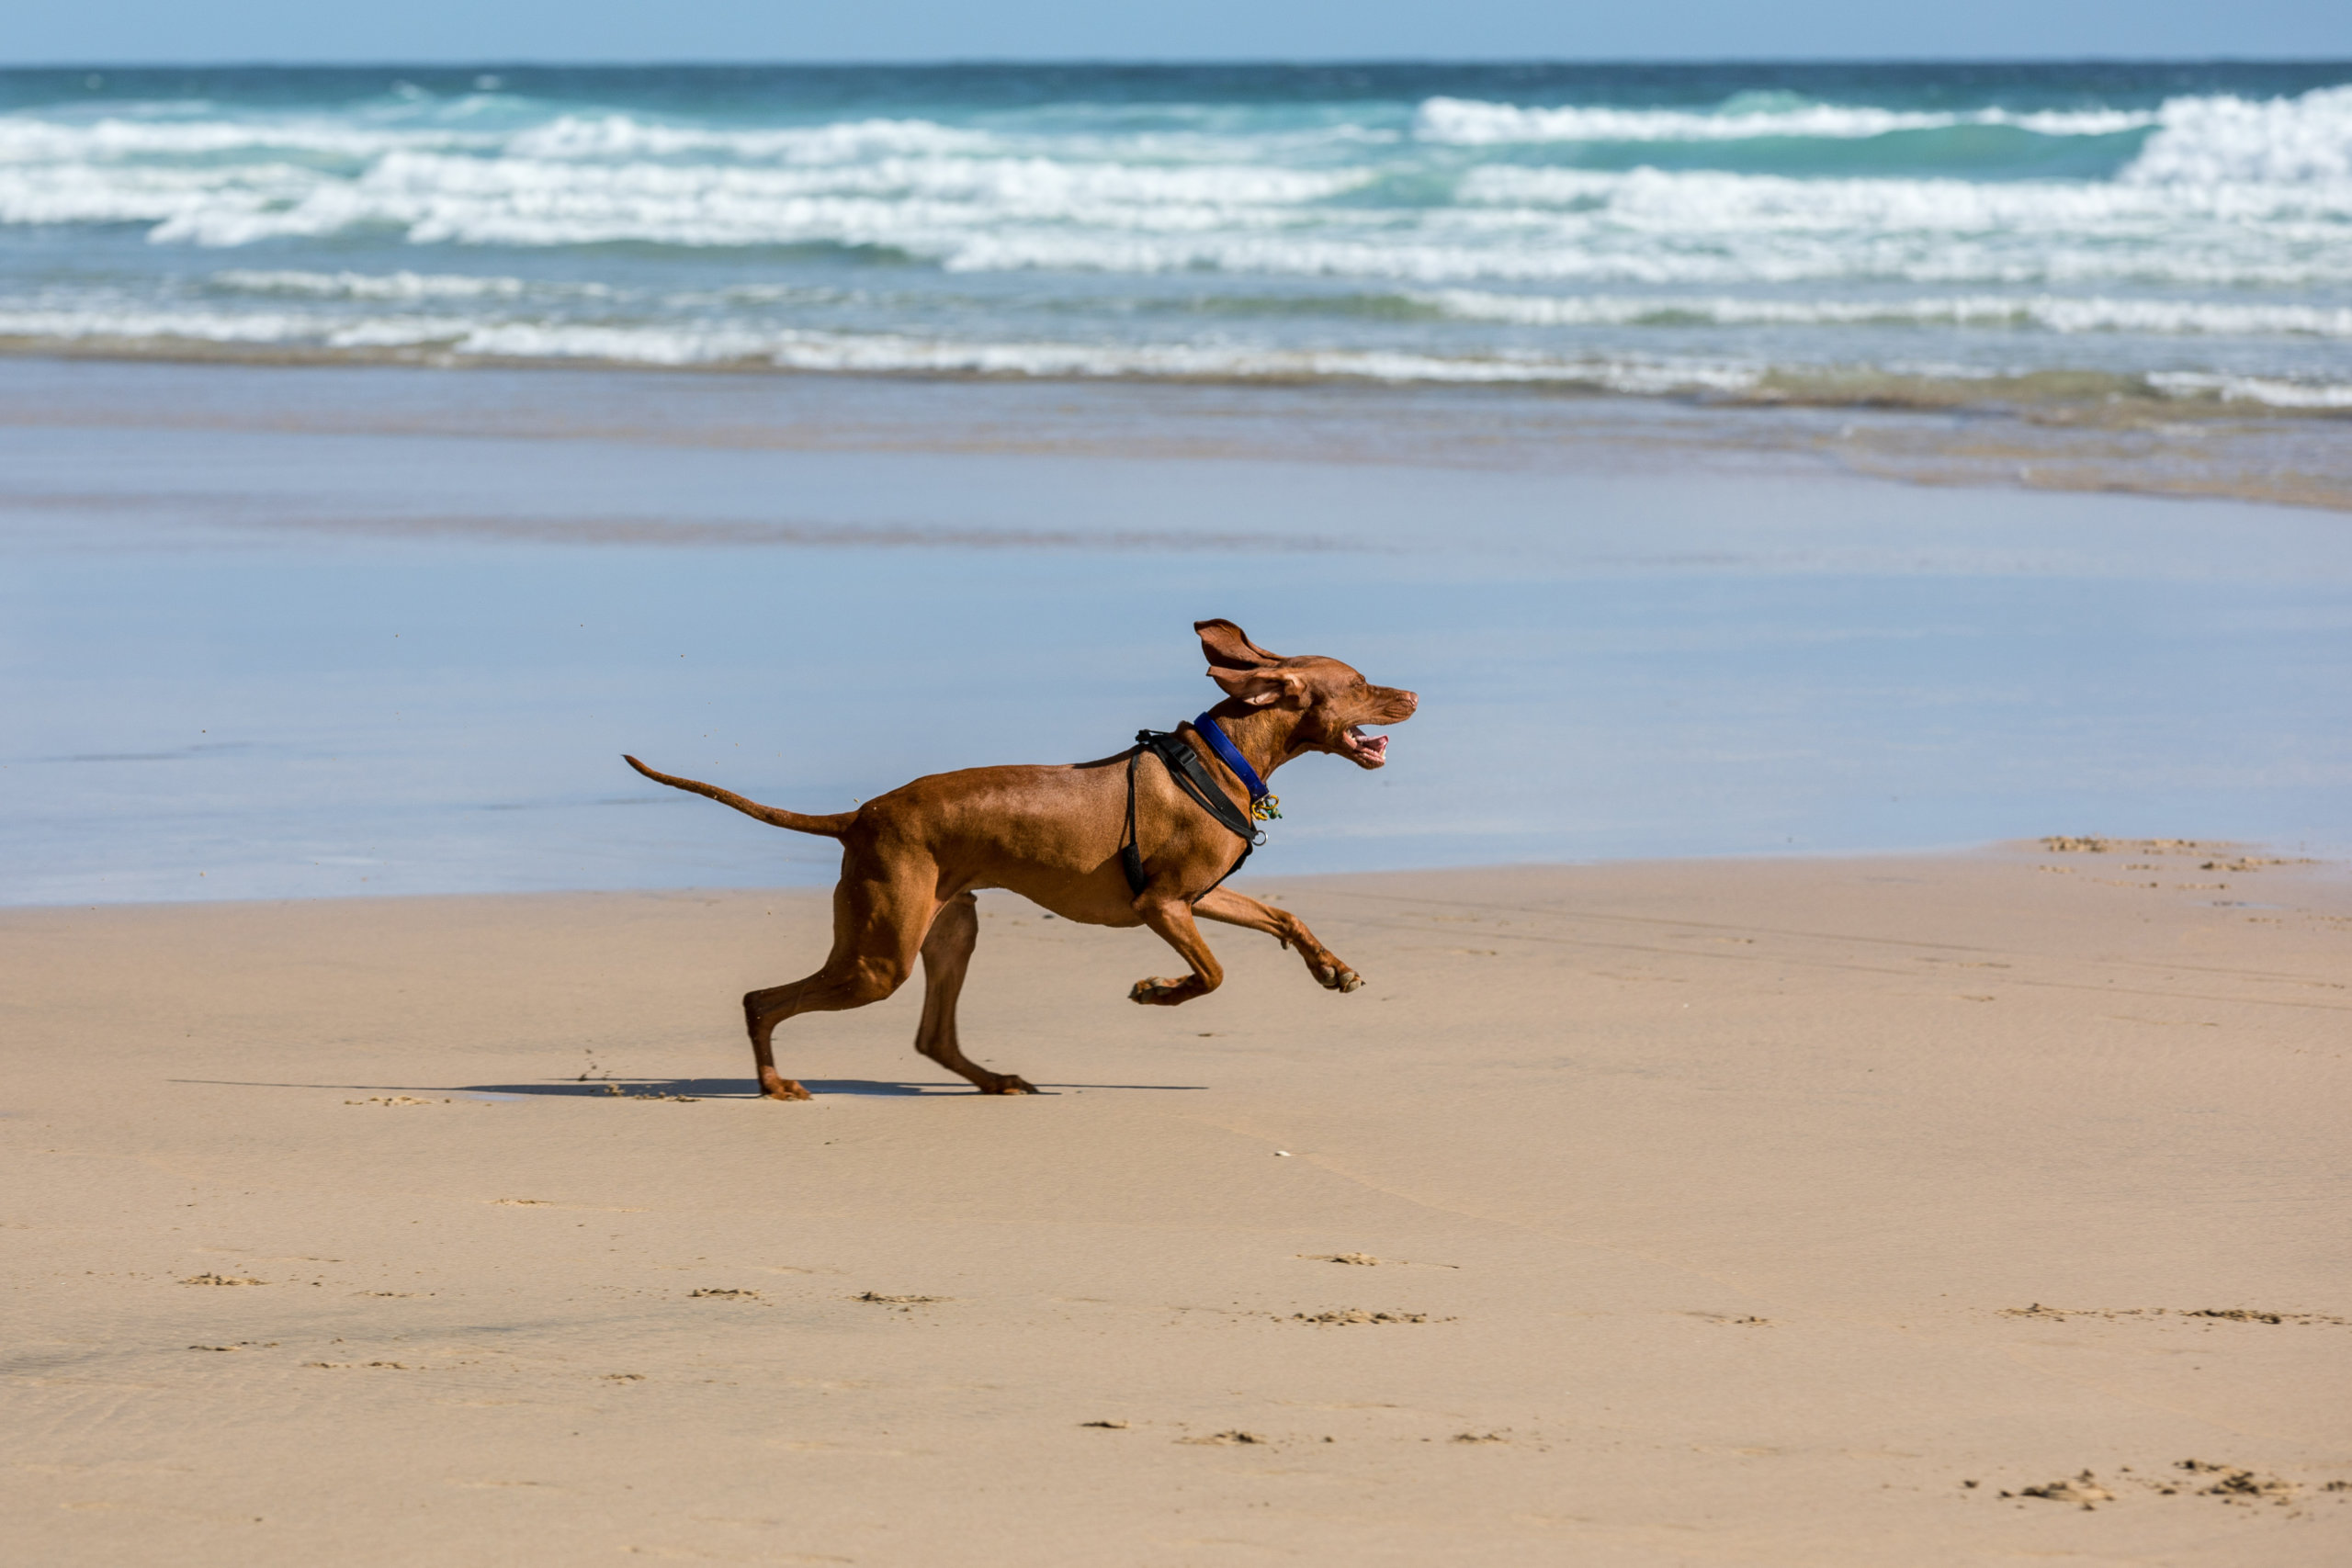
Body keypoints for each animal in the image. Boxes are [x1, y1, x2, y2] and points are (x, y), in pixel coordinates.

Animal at [625, 620, 1411, 1100]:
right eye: (1361, 684)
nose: (1411, 692)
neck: (1223, 757)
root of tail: (862, 815)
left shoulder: (1199, 895)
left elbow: (1285, 914)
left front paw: (1332, 969)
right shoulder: (1161, 905)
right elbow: (1212, 974)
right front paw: (1156, 991)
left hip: (948, 929)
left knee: (932, 1035)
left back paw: (994, 1079)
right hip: (880, 958)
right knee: (763, 1000)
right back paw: (774, 1084)